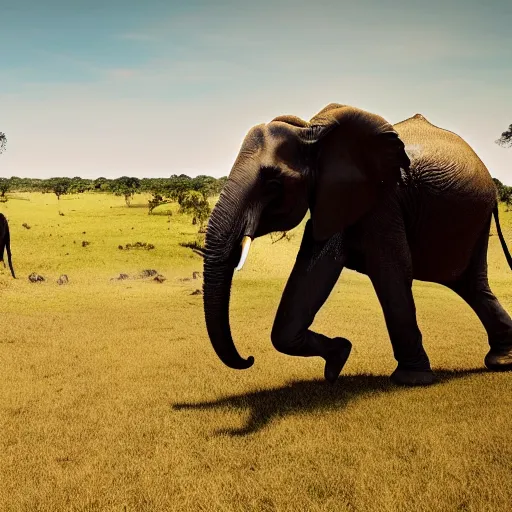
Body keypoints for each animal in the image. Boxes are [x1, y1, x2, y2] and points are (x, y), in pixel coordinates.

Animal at [201, 102, 512, 386]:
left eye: (273, 184)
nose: (249, 358)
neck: (311, 133)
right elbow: (314, 272)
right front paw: (339, 357)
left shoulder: (383, 200)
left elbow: (391, 270)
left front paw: (412, 379)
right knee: (468, 284)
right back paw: (502, 360)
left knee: (465, 281)